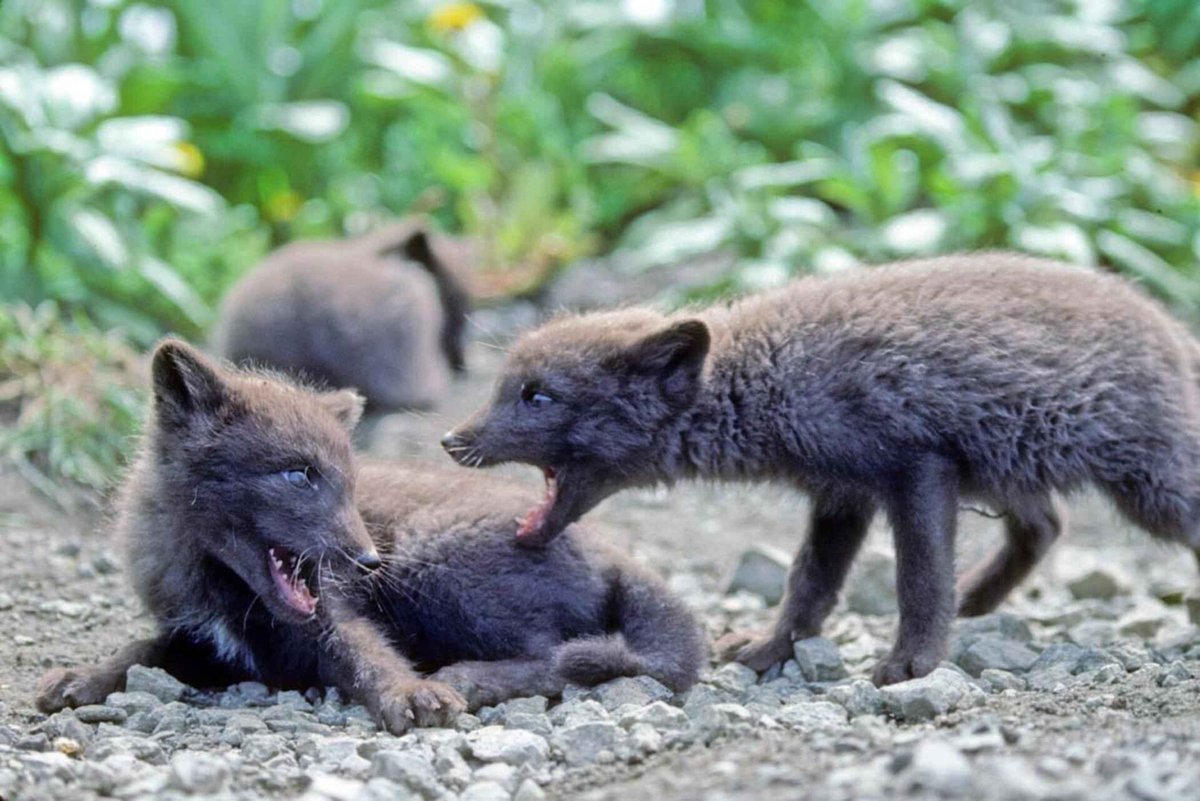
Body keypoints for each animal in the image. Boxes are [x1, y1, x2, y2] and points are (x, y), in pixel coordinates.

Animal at [35, 340, 703, 730]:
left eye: (348, 483)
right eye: (299, 474)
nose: (367, 560)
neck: (221, 586)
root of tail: (613, 553)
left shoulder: (334, 613)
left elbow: (367, 654)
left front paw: (409, 694)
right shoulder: (201, 641)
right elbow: (137, 650)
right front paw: (83, 677)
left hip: (432, 563)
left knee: (554, 660)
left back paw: (461, 679)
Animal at [441, 253, 1200, 686]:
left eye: (537, 396)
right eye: (503, 386)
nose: (450, 440)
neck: (771, 374)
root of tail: (1169, 325)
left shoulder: (915, 469)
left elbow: (918, 580)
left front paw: (913, 665)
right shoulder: (840, 494)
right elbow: (809, 584)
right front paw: (771, 648)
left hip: (1149, 488)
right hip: (1010, 469)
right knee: (1046, 525)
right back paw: (978, 602)